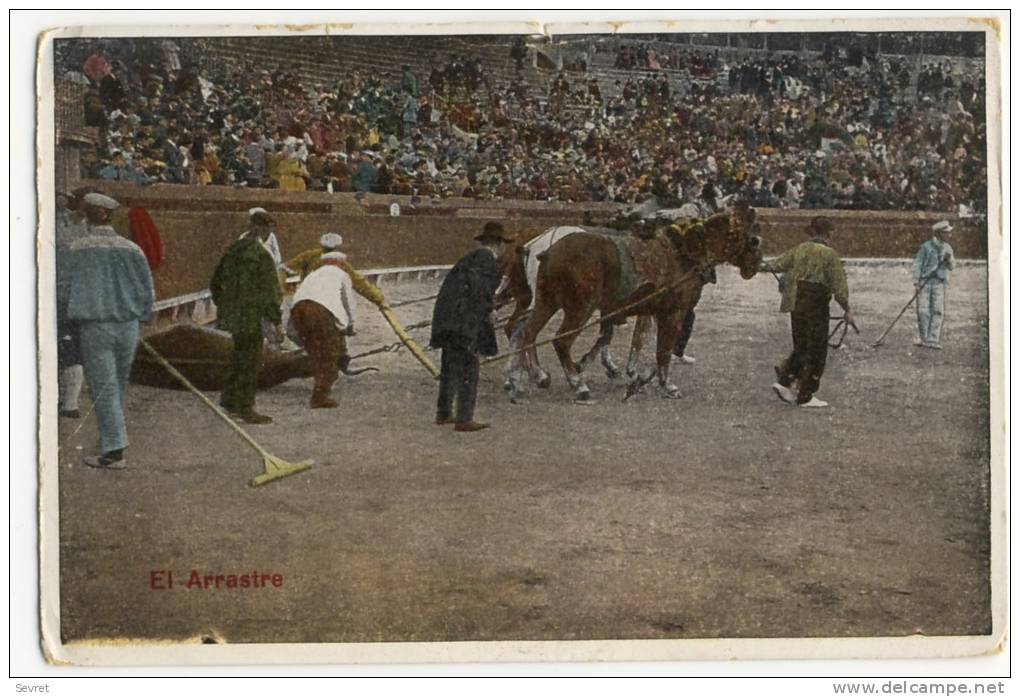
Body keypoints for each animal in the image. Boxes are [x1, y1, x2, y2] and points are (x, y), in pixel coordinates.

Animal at [514, 210, 762, 400]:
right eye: (751, 237)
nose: (756, 263)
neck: (685, 251)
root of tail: (548, 250)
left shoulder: (649, 310)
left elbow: (638, 341)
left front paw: (636, 375)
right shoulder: (674, 313)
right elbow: (663, 350)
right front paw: (665, 384)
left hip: (547, 302)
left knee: (528, 332)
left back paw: (537, 375)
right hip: (580, 308)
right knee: (561, 341)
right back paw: (577, 384)